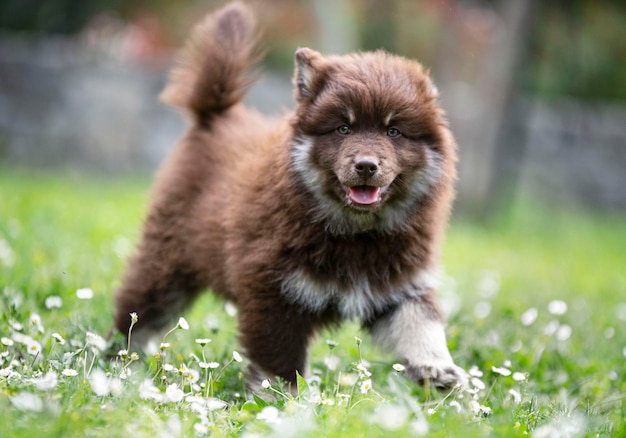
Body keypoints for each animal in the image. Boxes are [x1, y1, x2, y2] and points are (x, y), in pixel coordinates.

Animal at [113, 0, 464, 390]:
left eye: (394, 131)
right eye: (343, 128)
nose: (366, 165)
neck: (355, 234)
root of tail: (215, 118)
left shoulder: (398, 284)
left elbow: (421, 323)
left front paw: (437, 368)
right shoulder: (274, 289)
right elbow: (278, 359)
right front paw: (280, 398)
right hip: (168, 261)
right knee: (138, 312)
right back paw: (122, 361)